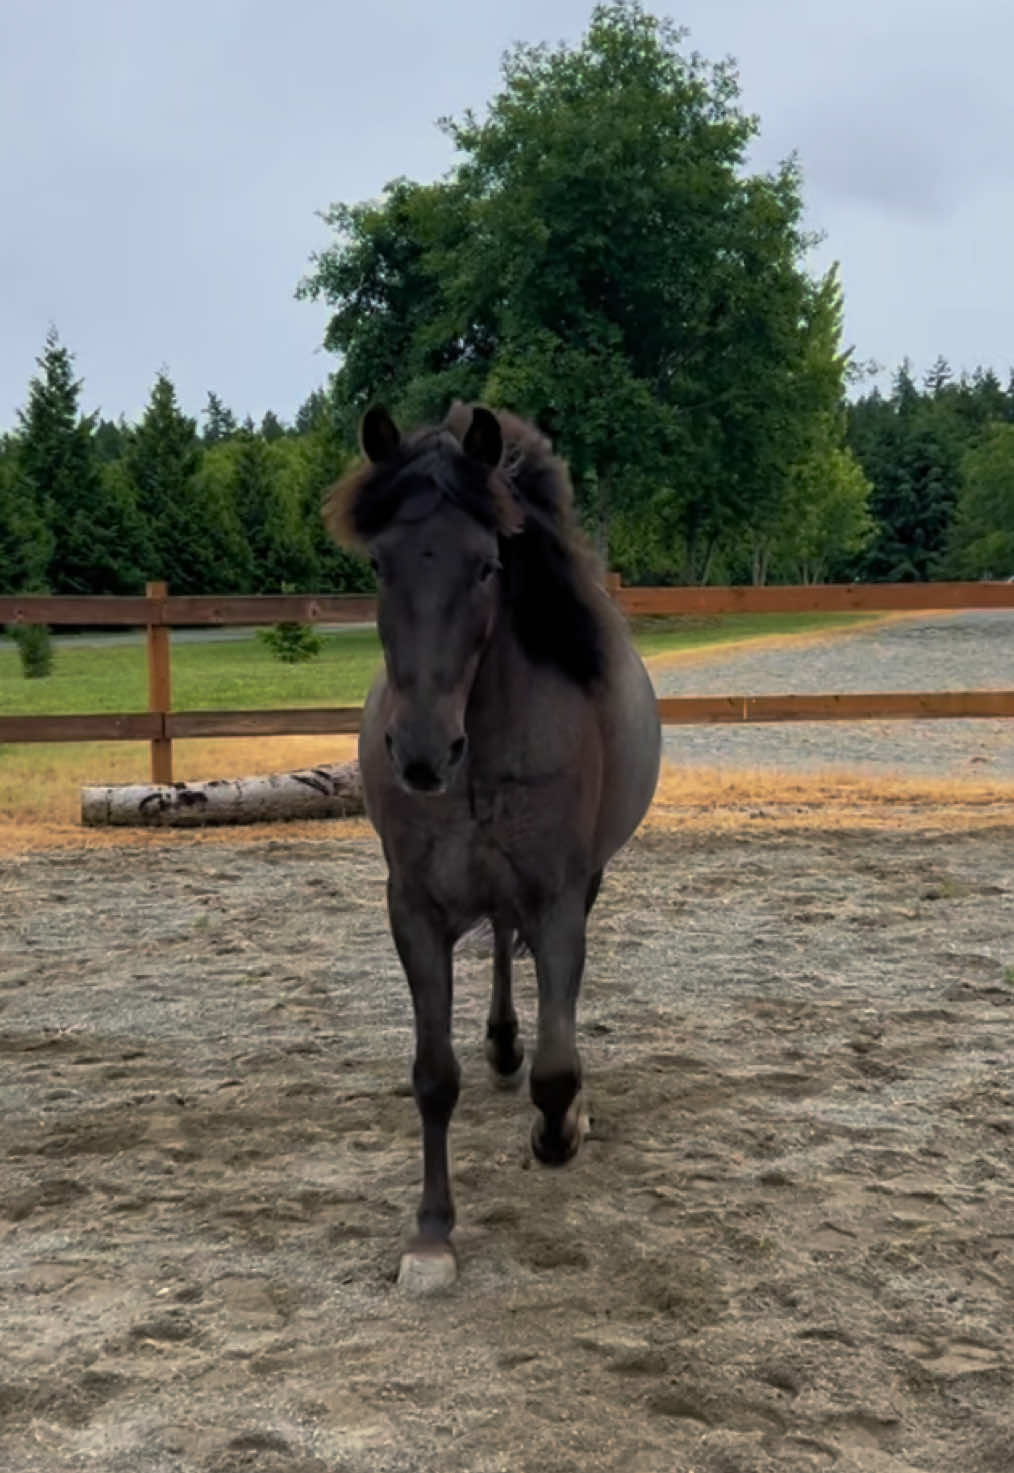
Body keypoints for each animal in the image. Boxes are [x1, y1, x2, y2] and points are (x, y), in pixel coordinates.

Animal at [325, 402, 661, 1292]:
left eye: (485, 565)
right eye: (380, 563)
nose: (421, 752)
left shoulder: (560, 899)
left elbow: (558, 1061)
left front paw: (561, 1128)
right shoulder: (413, 908)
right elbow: (433, 1075)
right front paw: (431, 1233)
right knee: (505, 956)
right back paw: (503, 1045)